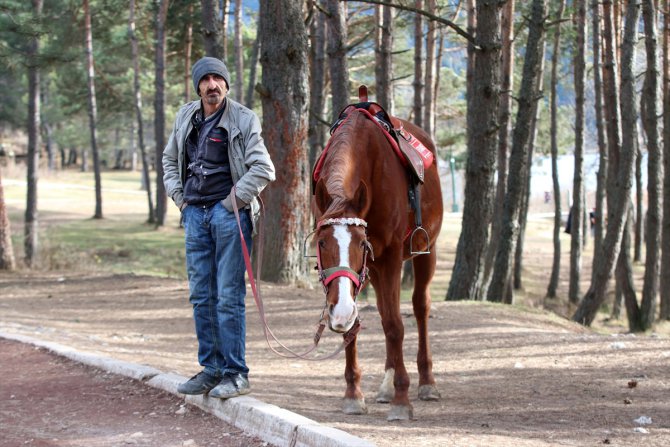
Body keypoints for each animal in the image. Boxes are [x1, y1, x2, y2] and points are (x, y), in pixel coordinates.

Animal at [312, 100, 444, 420]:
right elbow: (358, 325)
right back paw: (386, 385)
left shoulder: (392, 255)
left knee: (419, 307)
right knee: (384, 312)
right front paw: (353, 394)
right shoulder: (364, 269)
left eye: (360, 242)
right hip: (372, 268)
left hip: (426, 251)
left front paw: (402, 399)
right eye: (321, 243)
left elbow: (396, 325)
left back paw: (426, 382)